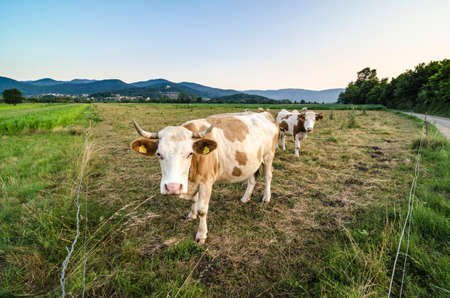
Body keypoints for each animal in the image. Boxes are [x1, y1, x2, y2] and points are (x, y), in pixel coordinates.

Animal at [129, 110, 278, 243]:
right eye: (159, 154)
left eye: (190, 153)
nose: (173, 187)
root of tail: (265, 114)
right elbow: (194, 200)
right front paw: (192, 215)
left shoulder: (206, 182)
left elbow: (202, 210)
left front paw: (201, 235)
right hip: (253, 161)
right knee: (252, 178)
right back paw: (245, 198)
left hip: (268, 156)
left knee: (268, 176)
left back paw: (266, 197)